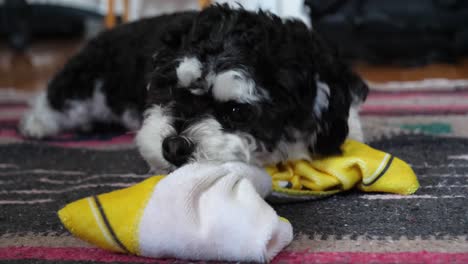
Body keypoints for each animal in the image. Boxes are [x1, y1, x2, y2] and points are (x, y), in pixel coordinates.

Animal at [19, 4, 370, 173]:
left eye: (236, 111)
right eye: (170, 91)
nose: (173, 147)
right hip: (86, 77)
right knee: (57, 97)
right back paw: (36, 125)